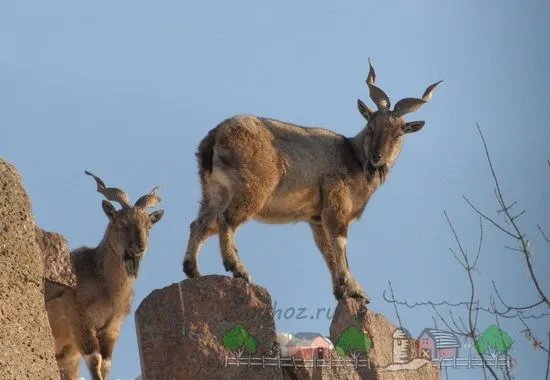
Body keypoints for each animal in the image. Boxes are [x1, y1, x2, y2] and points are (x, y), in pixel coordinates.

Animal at [183, 60, 442, 304]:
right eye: (370, 127)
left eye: (398, 133)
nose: (377, 156)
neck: (354, 158)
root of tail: (216, 135)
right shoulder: (336, 205)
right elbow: (339, 244)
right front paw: (356, 290)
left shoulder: (316, 218)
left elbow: (327, 251)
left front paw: (342, 291)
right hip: (253, 189)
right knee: (226, 220)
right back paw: (238, 269)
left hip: (214, 190)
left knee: (200, 223)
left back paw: (193, 270)